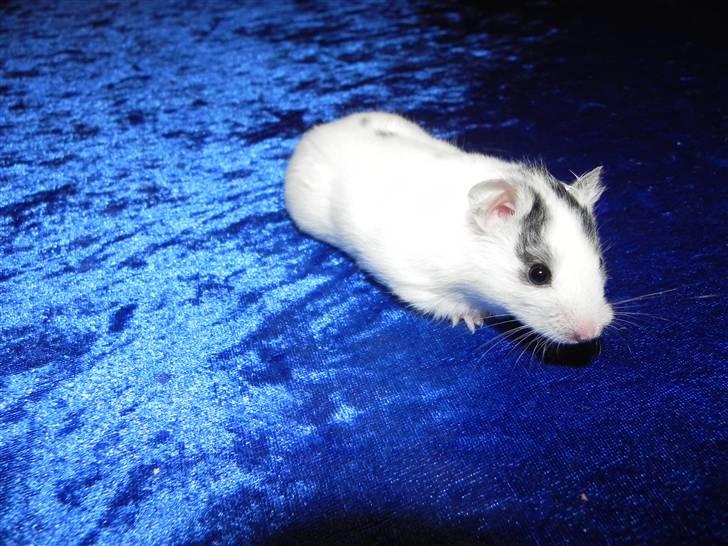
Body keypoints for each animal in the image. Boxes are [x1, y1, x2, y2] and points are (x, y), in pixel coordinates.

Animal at [284, 112, 613, 344]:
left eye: (599, 262)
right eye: (538, 274)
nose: (592, 334)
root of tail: (319, 130)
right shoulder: (416, 283)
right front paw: (473, 320)